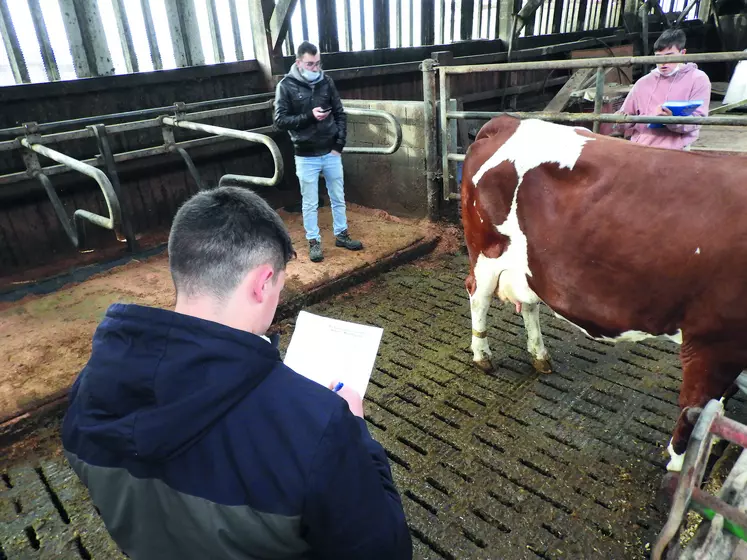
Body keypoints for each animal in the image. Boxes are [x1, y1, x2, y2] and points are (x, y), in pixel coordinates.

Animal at [464, 115, 747, 472]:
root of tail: (508, 122)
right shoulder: (715, 342)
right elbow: (694, 410)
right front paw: (681, 465)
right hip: (486, 252)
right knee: (477, 296)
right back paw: (482, 356)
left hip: (531, 265)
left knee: (528, 305)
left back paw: (539, 355)